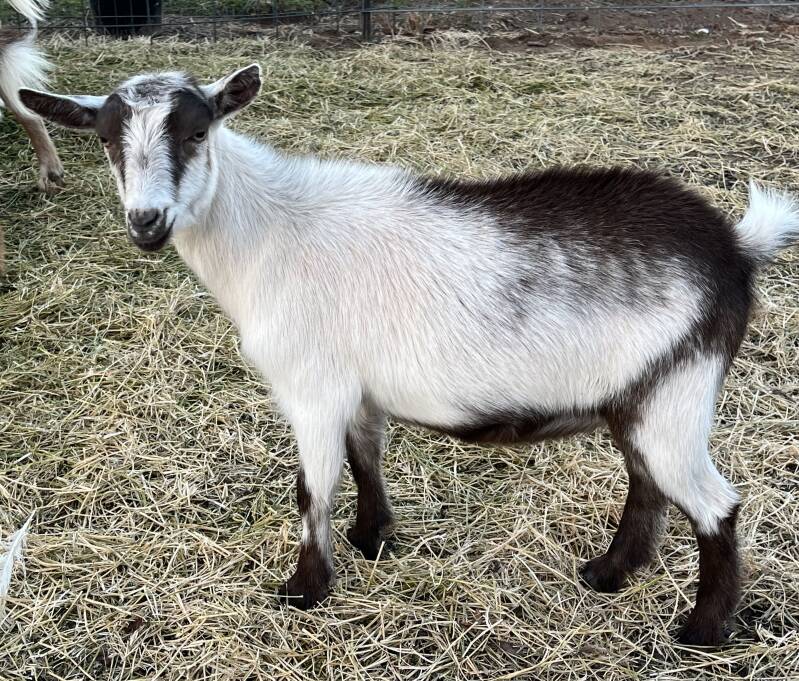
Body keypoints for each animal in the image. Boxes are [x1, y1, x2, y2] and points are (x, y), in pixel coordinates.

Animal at [19, 64, 799, 647]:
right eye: (107, 138)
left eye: (195, 129)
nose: (146, 222)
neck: (268, 231)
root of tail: (734, 247)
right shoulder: (356, 389)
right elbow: (365, 457)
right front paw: (372, 539)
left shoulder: (311, 387)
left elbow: (312, 487)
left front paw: (304, 590)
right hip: (642, 394)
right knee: (648, 484)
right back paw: (607, 574)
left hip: (678, 392)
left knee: (714, 504)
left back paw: (700, 630)